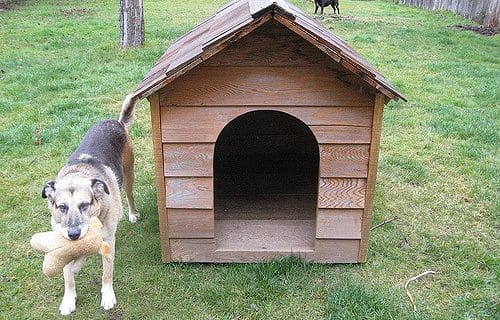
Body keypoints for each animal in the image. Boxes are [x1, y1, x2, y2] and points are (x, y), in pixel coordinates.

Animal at [40, 94, 139, 316]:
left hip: (129, 174)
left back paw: (132, 213)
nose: (74, 234)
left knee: (129, 195)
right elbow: (67, 271)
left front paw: (108, 296)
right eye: (62, 207)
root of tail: (116, 122)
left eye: (84, 205)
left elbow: (106, 274)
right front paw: (68, 298)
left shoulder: (108, 241)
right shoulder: (68, 245)